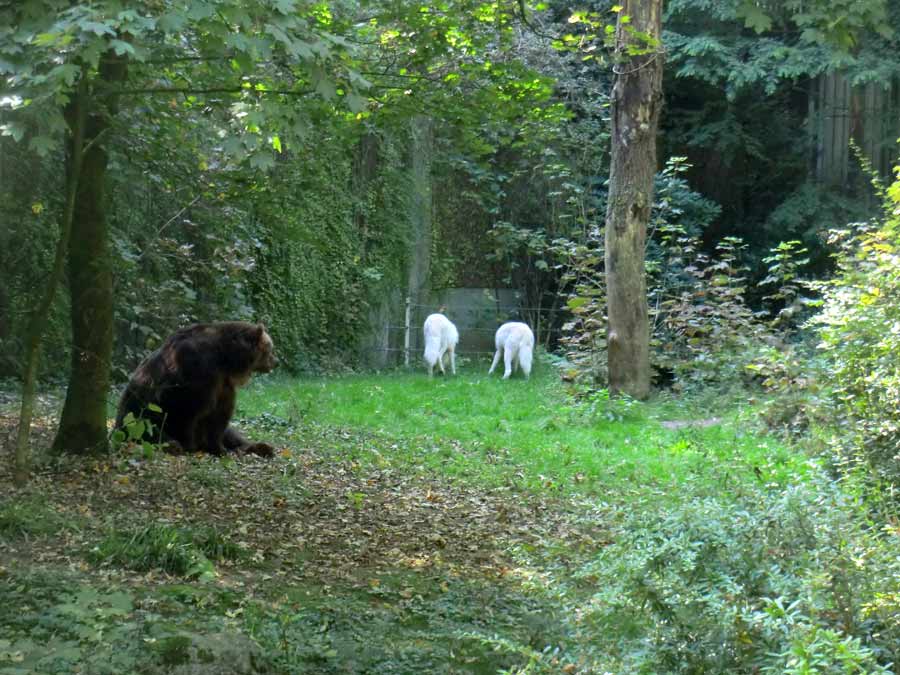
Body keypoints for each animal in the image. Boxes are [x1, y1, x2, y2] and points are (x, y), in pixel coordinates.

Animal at [116, 320, 278, 456]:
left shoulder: (222, 384)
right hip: (139, 410)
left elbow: (219, 415)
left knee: (231, 433)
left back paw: (261, 447)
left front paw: (218, 447)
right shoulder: (197, 370)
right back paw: (173, 445)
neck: (225, 359)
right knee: (148, 429)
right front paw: (191, 445)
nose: (275, 362)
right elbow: (188, 410)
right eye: (270, 348)